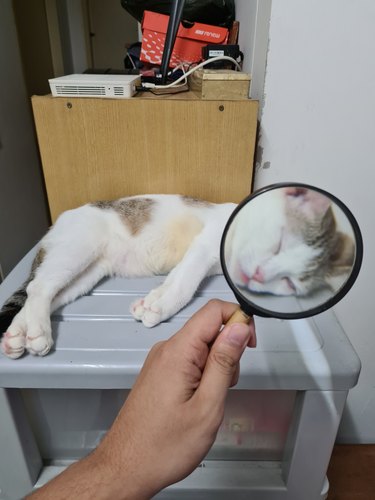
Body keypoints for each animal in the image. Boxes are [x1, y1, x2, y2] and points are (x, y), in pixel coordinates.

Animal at [0, 193, 235, 358]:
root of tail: (56, 224)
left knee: (46, 297)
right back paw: (38, 333)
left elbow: (174, 279)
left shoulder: (196, 258)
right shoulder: (204, 247)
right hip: (79, 249)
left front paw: (150, 302)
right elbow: (184, 285)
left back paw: (16, 336)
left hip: (86, 275)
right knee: (38, 287)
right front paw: (159, 310)